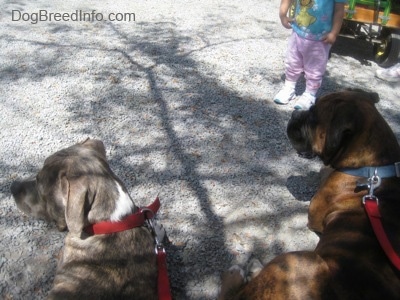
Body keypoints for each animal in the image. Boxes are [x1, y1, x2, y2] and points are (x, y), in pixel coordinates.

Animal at [220, 89, 400, 300]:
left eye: (314, 116)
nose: (295, 113)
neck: (374, 166)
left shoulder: (315, 216)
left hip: (297, 259)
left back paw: (237, 273)